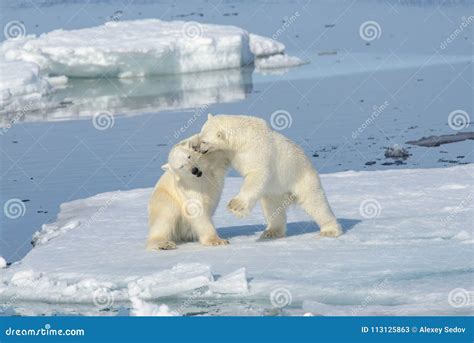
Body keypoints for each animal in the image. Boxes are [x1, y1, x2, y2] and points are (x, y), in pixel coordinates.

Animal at [194, 114, 342, 238]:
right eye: (200, 137)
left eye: (204, 141)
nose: (196, 148)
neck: (243, 137)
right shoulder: (230, 153)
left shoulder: (257, 151)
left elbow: (257, 174)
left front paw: (235, 206)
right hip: (274, 192)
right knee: (272, 209)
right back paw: (271, 231)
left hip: (302, 179)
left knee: (316, 203)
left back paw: (330, 230)